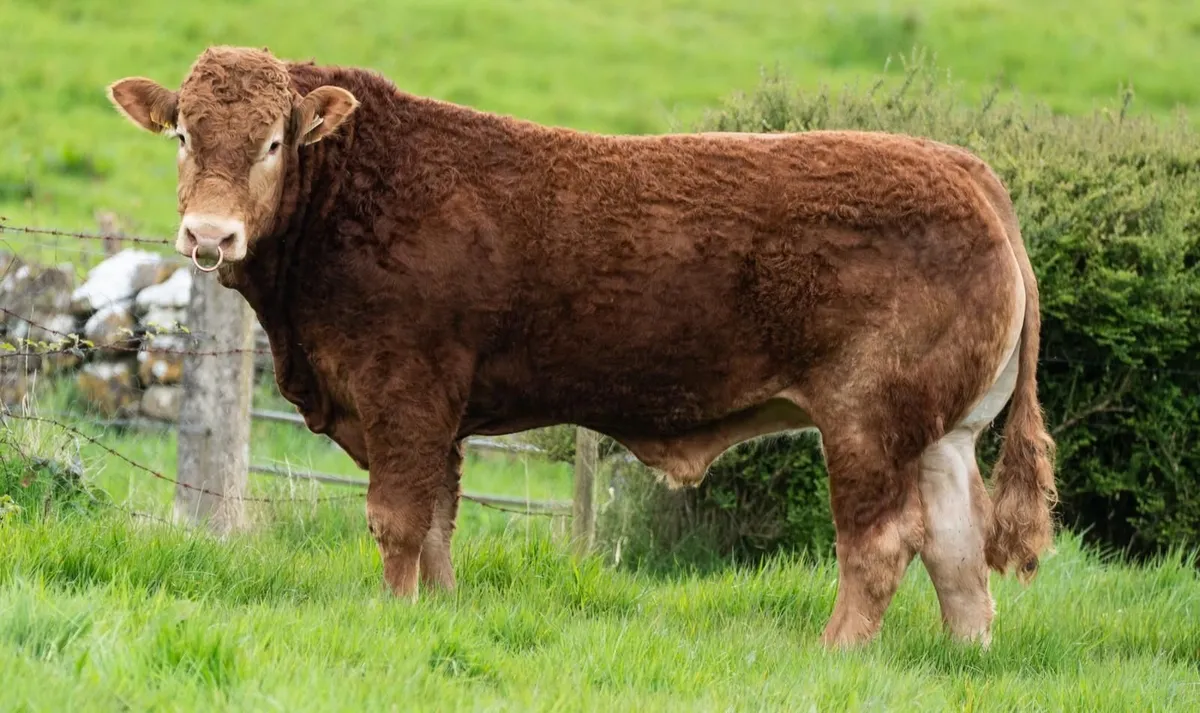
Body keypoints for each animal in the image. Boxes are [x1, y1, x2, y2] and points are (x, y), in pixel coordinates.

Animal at [106, 46, 1056, 649]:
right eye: (184, 134)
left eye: (273, 142)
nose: (210, 234)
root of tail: (968, 170)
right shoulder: (440, 415)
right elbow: (441, 524)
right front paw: (436, 614)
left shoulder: (404, 391)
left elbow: (399, 520)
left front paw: (394, 613)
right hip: (942, 434)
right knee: (957, 547)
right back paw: (964, 656)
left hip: (867, 419)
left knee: (881, 542)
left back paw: (836, 652)